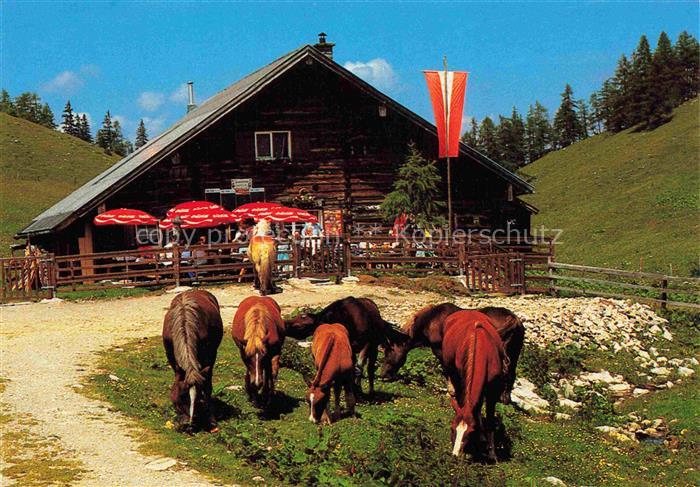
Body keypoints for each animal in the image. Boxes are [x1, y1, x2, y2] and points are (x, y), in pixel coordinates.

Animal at [163, 290, 223, 430]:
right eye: (181, 395)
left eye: (199, 396)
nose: (188, 423)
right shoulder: (170, 355)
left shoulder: (208, 356)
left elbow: (207, 384)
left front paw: (210, 418)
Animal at [380, 304, 524, 404]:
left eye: (388, 351)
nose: (383, 375)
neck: (431, 320)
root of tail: (513, 319)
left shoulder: (440, 350)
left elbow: (448, 370)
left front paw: (451, 392)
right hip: (514, 353)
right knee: (510, 373)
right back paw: (504, 398)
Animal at [446, 310, 506, 460]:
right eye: (452, 429)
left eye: (469, 433)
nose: (455, 454)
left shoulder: (492, 391)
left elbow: (489, 419)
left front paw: (491, 453)